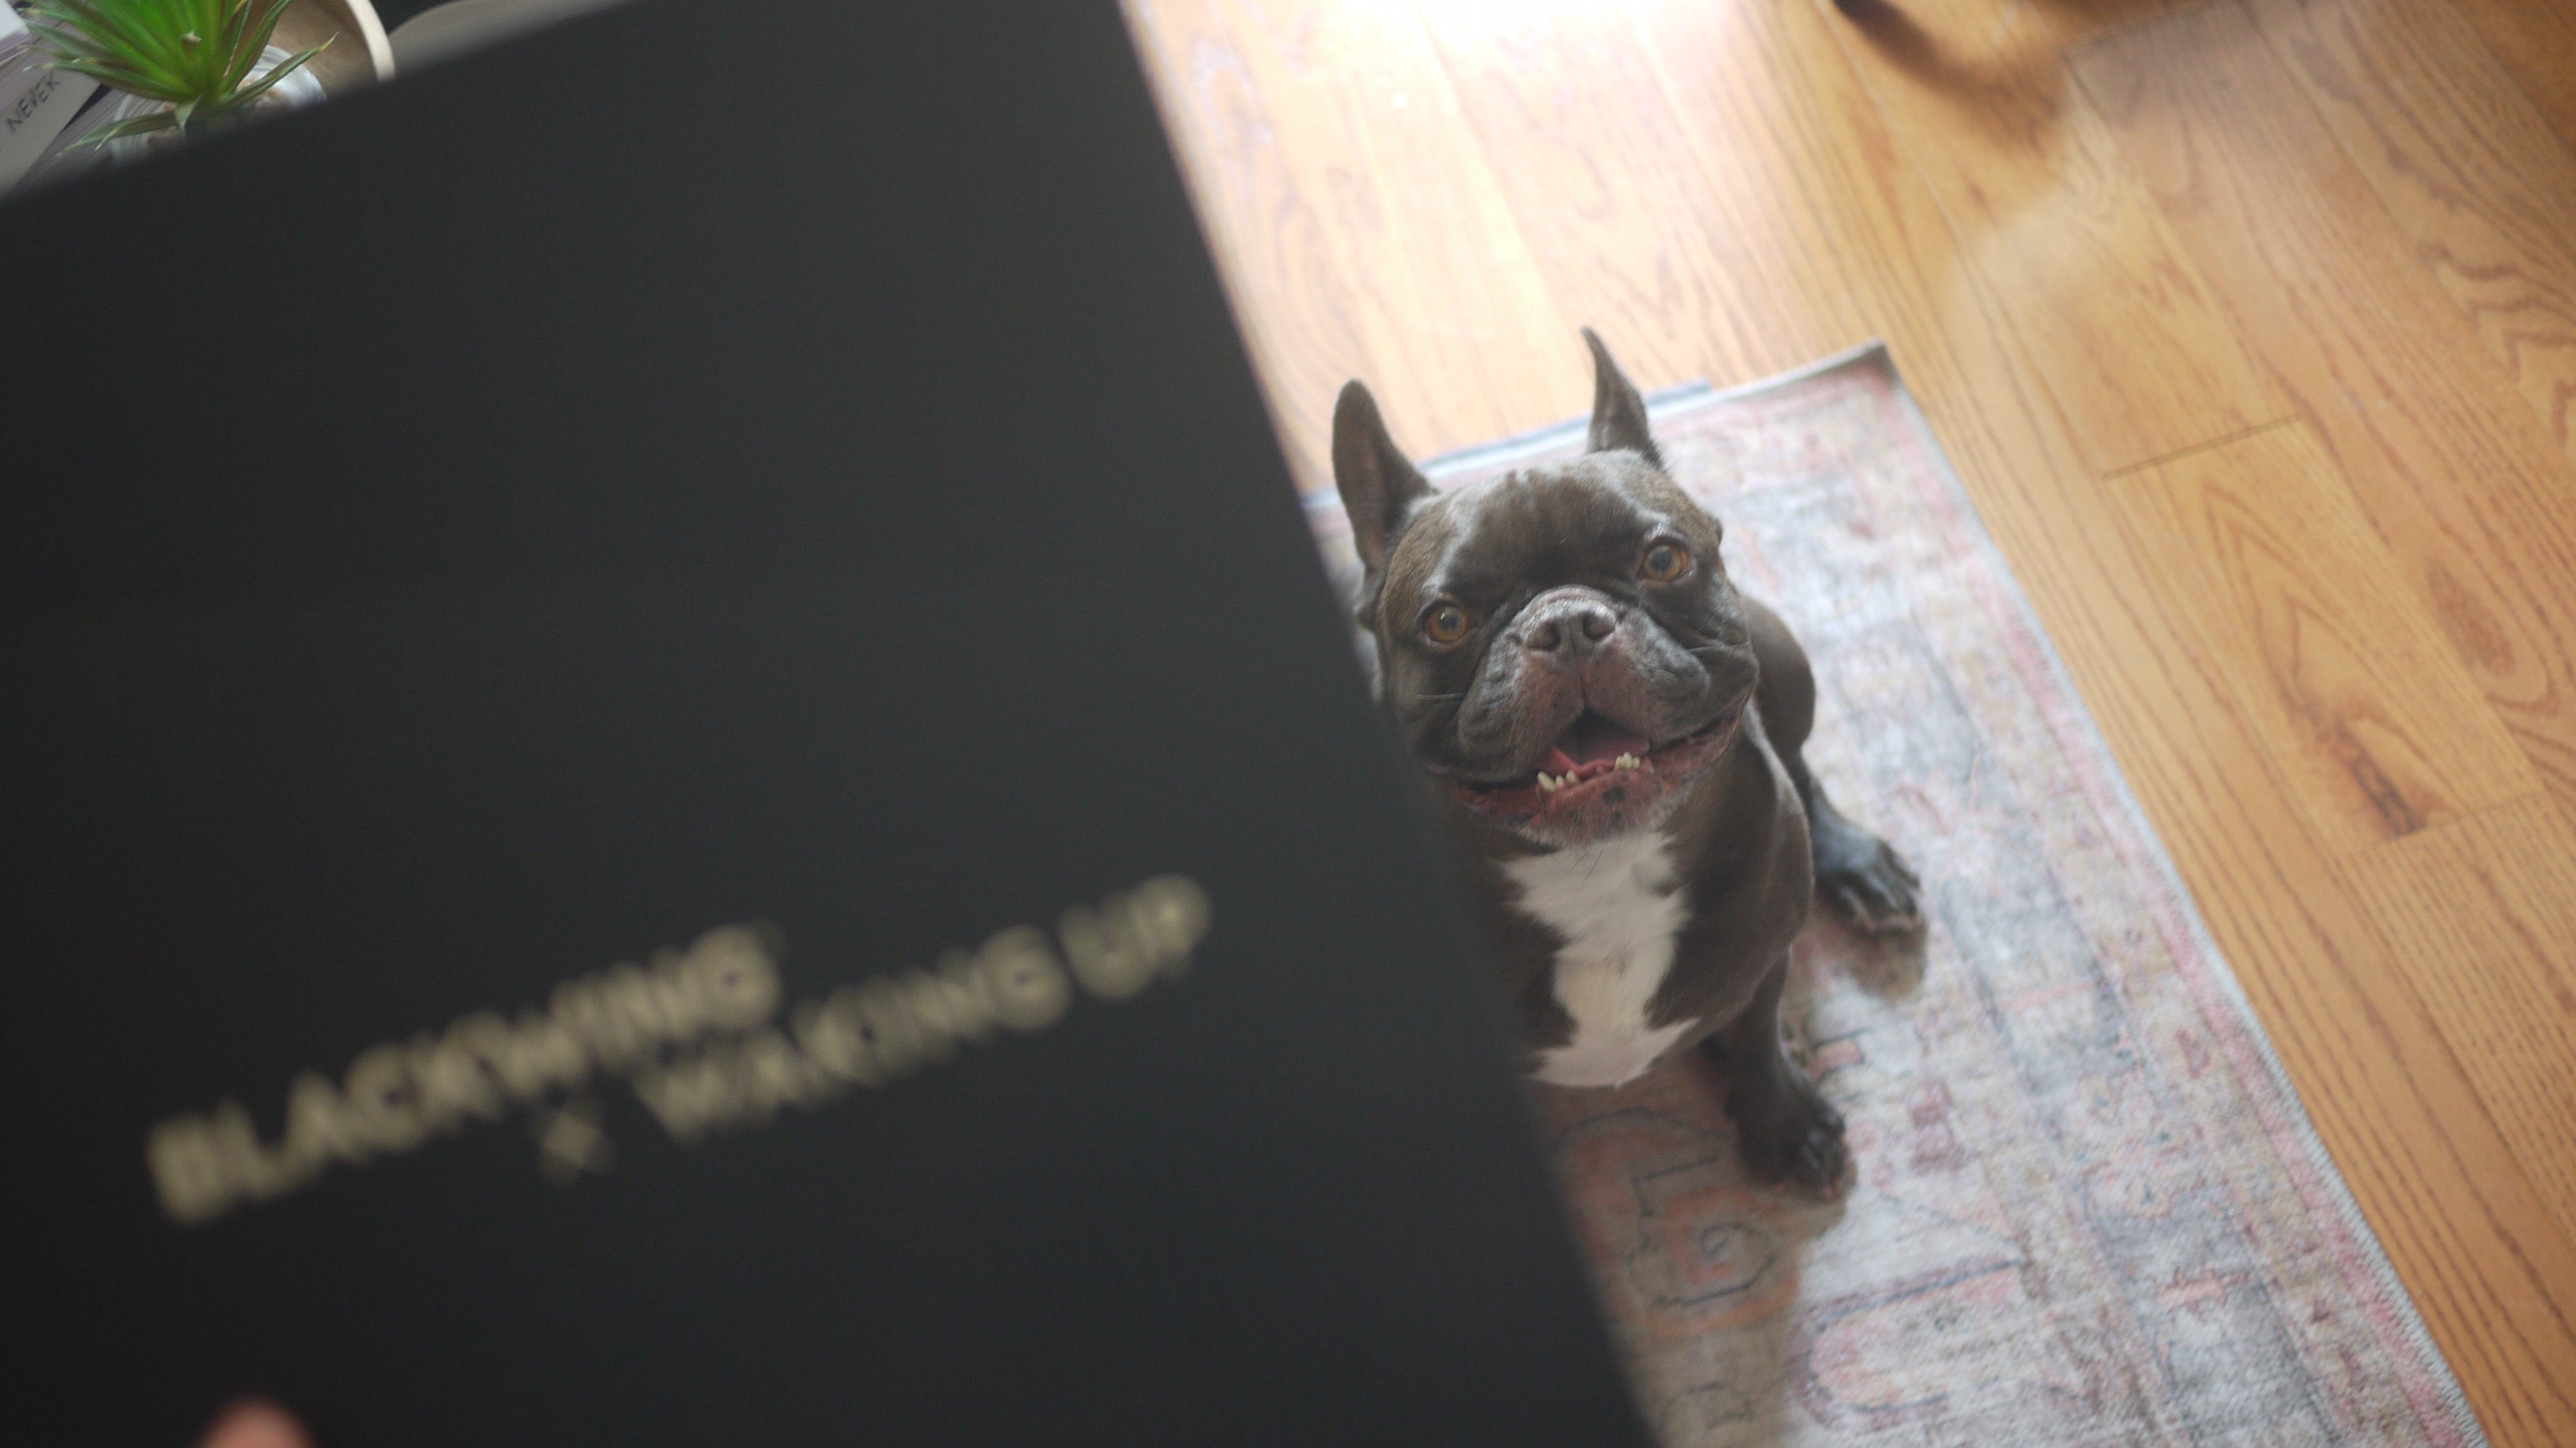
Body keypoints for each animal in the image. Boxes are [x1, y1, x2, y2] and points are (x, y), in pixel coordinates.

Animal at [1333, 330, 1922, 1195]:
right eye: (1445, 622)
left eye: (1663, 561)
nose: (1568, 621)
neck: (1600, 871)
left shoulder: (1763, 962)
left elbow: (1757, 1035)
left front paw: (1783, 1117)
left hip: (1783, 655)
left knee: (1802, 765)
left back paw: (1860, 866)